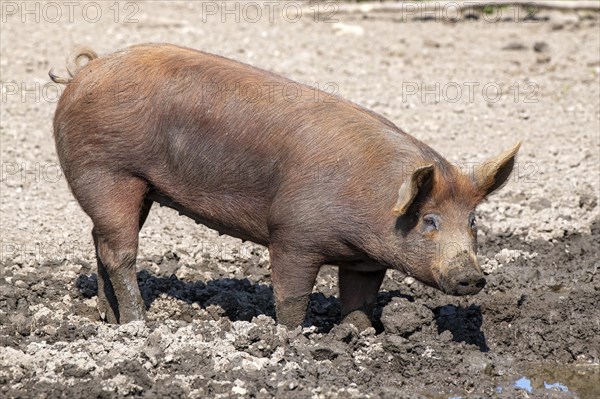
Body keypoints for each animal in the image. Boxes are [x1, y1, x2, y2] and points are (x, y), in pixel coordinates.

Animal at [50, 43, 520, 332]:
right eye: (429, 220)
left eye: (473, 220)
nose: (473, 277)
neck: (371, 203)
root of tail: (84, 69)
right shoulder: (294, 234)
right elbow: (292, 295)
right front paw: (293, 337)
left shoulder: (365, 261)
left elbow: (359, 299)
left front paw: (358, 336)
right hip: (107, 173)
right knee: (119, 252)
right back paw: (138, 323)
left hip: (137, 188)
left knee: (99, 241)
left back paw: (108, 318)